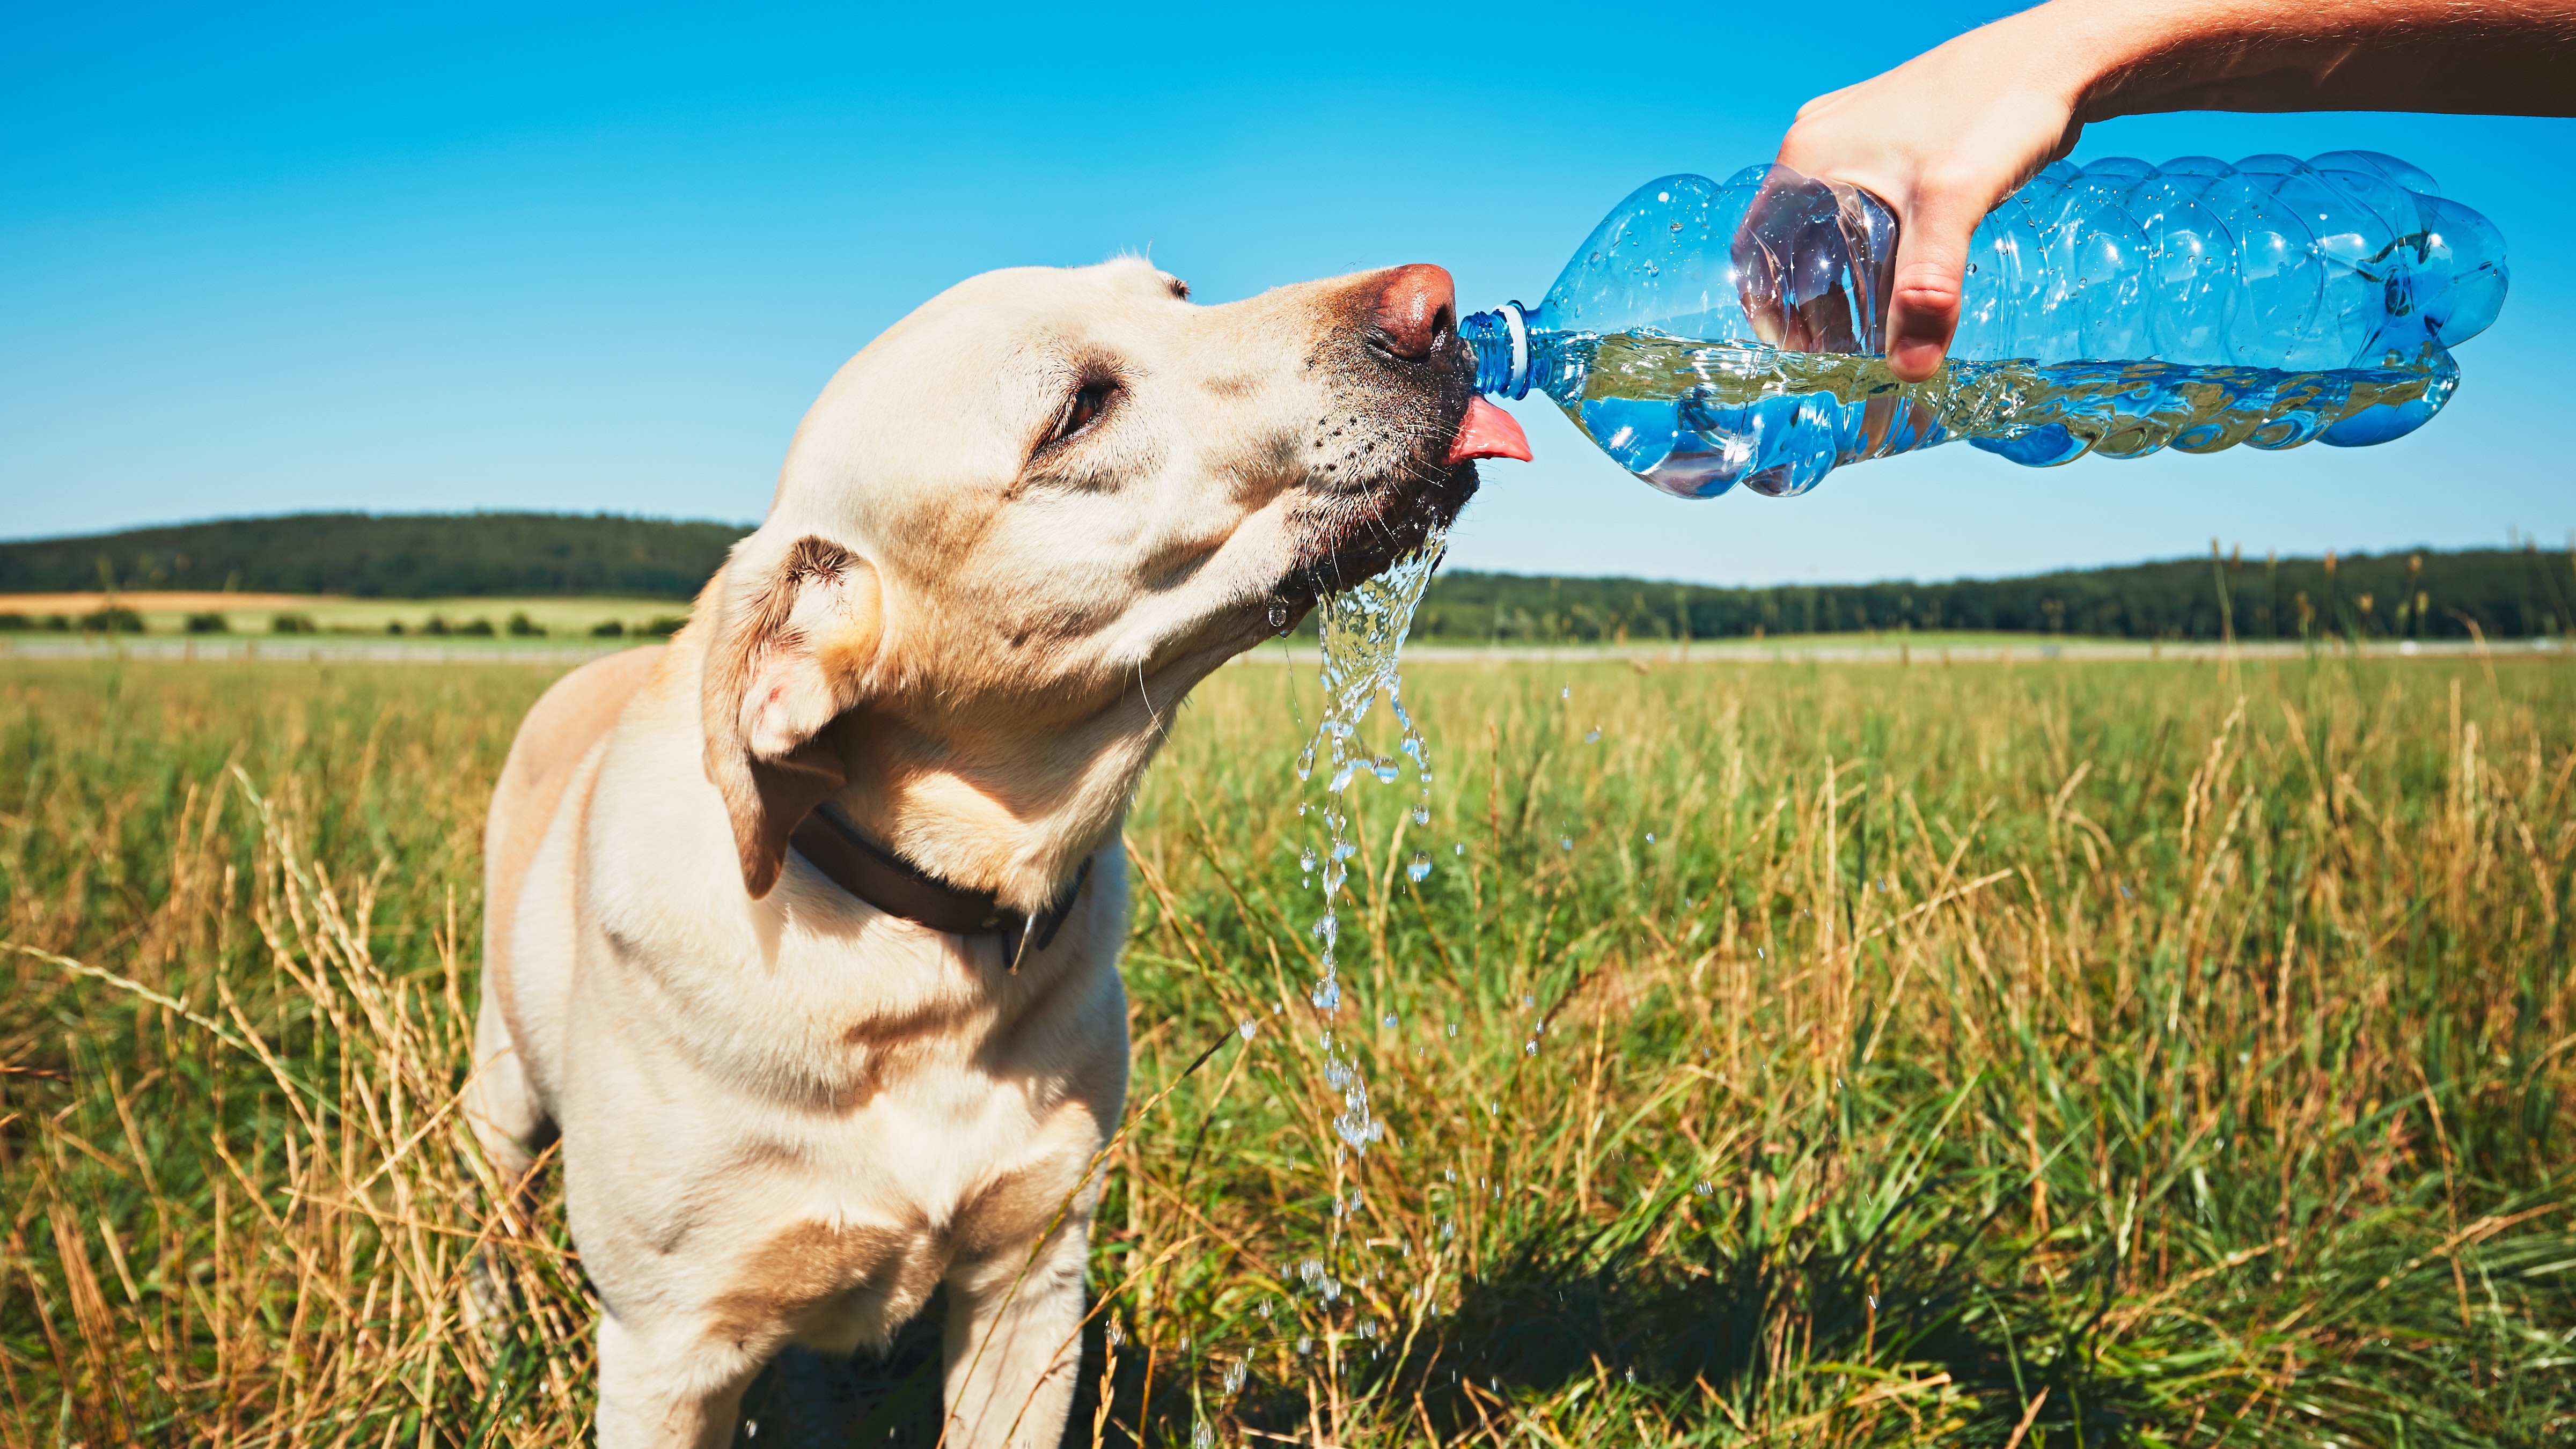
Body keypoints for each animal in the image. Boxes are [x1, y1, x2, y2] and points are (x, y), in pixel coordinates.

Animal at [466, 254, 1525, 1441]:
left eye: (1176, 292)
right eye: (1078, 410)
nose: (1436, 304)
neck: (919, 945)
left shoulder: (1031, 1283)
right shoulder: (669, 1352)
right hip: (499, 1091)